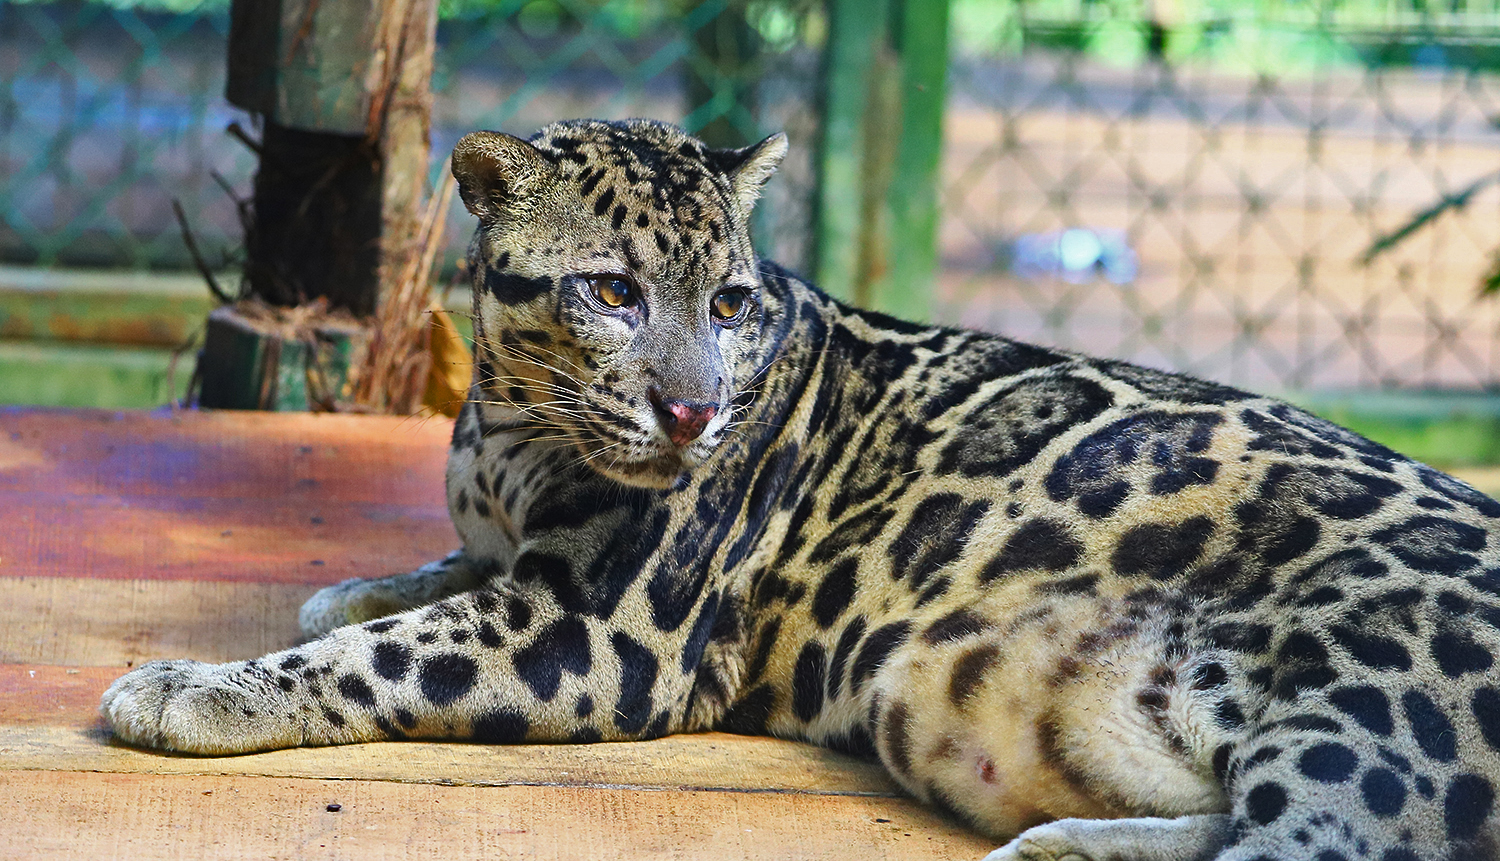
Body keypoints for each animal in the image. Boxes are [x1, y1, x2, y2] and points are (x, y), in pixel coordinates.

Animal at [101, 118, 1500, 861]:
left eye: (727, 304)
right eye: (613, 291)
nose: (692, 412)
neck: (509, 416)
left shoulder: (599, 631)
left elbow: (388, 654)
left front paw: (192, 689)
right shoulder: (516, 559)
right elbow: (421, 583)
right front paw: (352, 584)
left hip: (1362, 691)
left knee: (1319, 846)